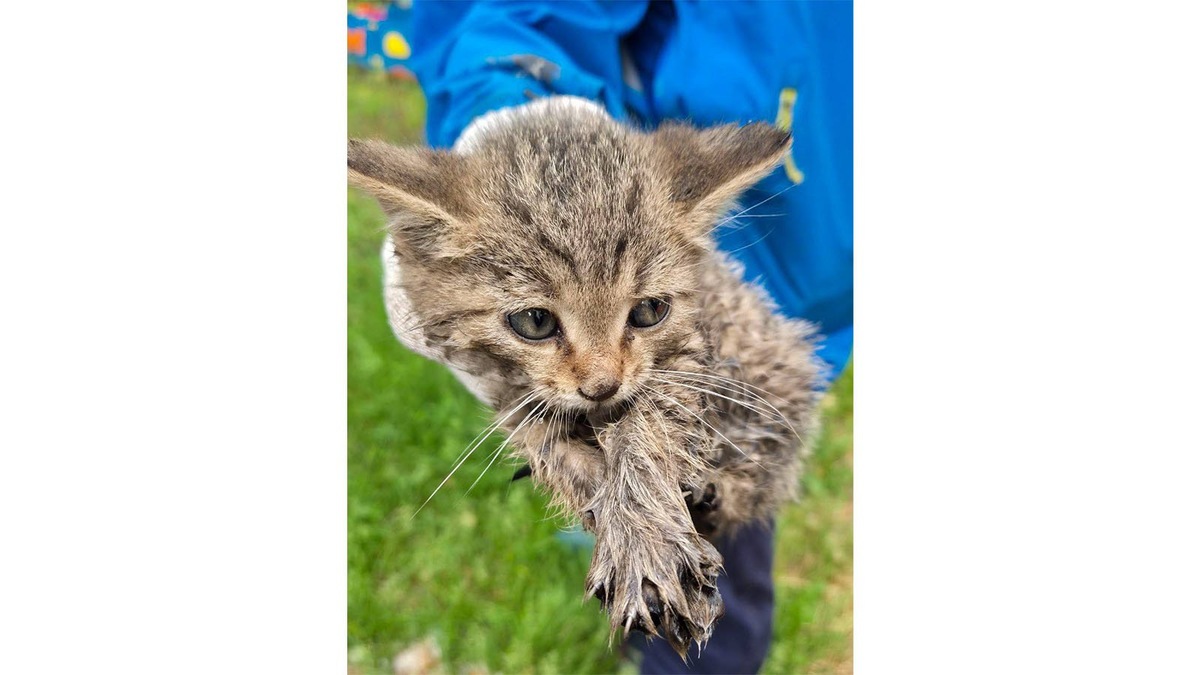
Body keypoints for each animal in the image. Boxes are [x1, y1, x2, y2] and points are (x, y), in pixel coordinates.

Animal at [343, 96, 820, 658]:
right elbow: (544, 440)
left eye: (649, 311)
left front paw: (643, 540)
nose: (601, 386)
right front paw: (602, 501)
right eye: (534, 321)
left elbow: (649, 421)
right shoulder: (507, 389)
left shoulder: (694, 354)